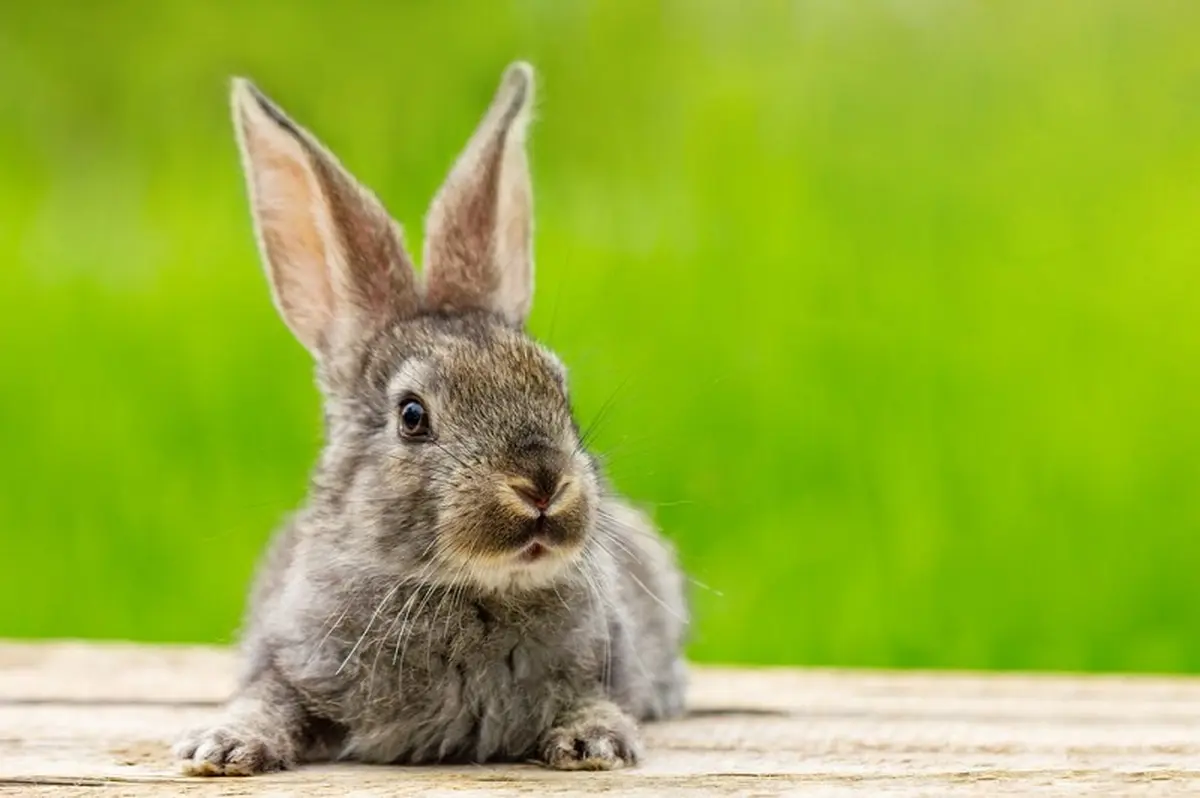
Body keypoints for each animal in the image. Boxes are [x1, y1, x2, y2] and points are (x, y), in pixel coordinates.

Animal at [172, 62, 689, 776]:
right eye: (412, 416)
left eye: (559, 389)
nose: (541, 484)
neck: (467, 590)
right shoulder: (288, 660)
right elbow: (268, 698)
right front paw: (222, 747)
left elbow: (593, 699)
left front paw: (595, 743)